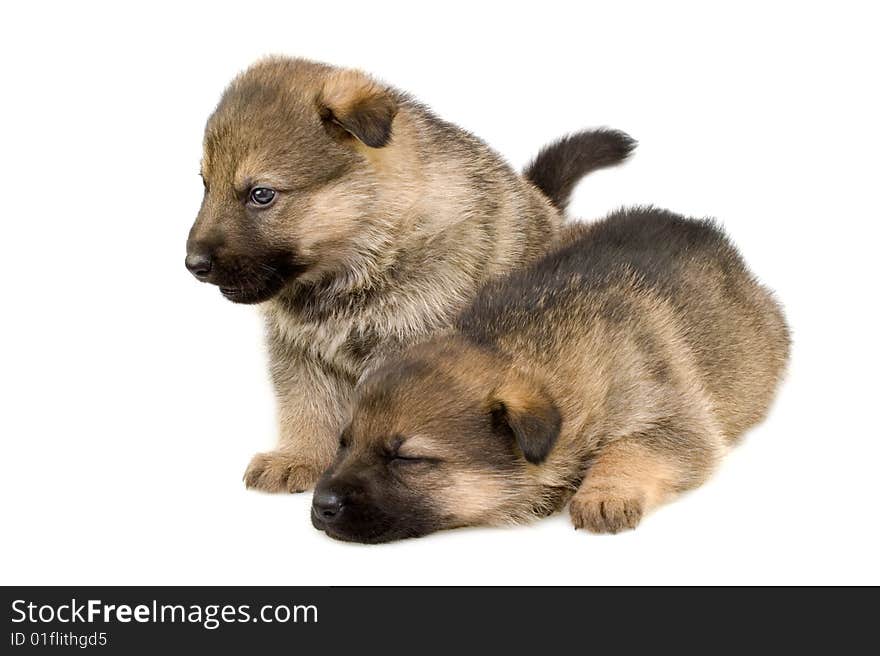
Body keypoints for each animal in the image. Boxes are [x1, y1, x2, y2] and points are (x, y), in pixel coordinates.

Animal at [187, 55, 640, 492]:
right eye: (206, 185)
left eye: (261, 195)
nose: (193, 264)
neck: (365, 255)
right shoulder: (299, 352)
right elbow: (305, 406)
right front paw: (299, 458)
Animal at [314, 208, 792, 540]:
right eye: (344, 442)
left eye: (407, 459)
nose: (320, 505)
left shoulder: (672, 415)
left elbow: (633, 448)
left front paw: (604, 494)